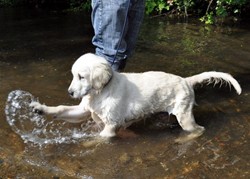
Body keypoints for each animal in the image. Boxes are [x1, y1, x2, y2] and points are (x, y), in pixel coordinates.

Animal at [30, 52, 241, 137]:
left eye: (81, 76)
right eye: (73, 75)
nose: (70, 92)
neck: (100, 92)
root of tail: (186, 80)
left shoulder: (111, 125)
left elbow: (98, 138)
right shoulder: (84, 110)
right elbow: (60, 109)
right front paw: (40, 109)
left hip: (185, 116)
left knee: (199, 130)